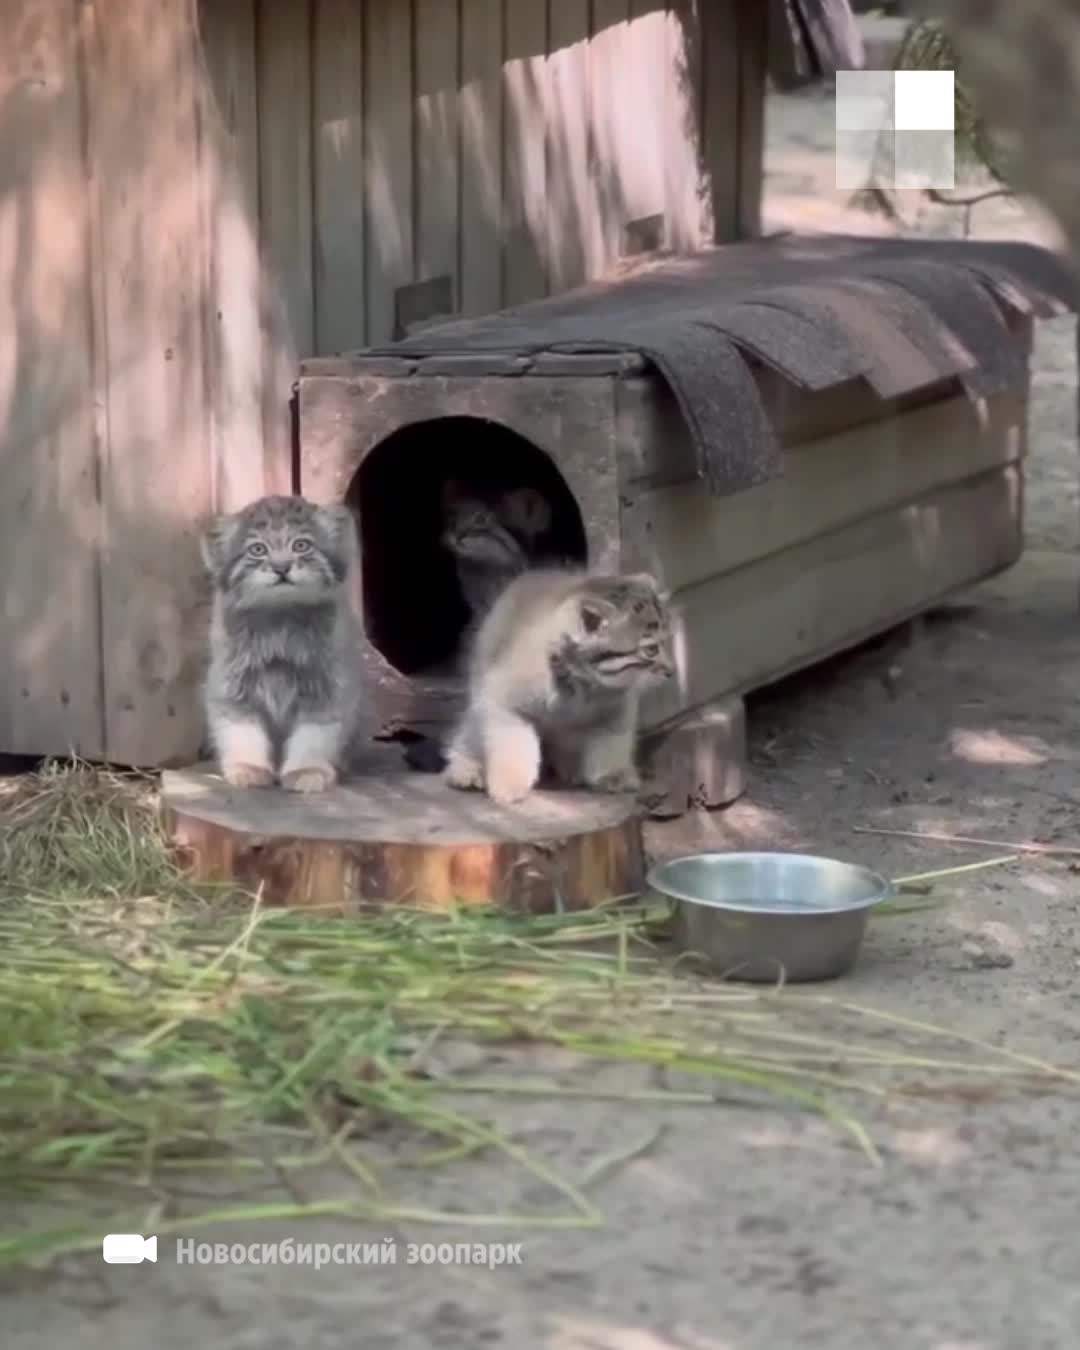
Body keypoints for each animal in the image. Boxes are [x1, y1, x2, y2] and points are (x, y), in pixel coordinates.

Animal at [195, 494, 361, 788]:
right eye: (257, 549)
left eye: (301, 545)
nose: (281, 567)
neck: (281, 618)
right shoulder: (232, 685)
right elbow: (241, 729)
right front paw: (248, 766)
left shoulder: (326, 687)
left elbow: (315, 734)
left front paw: (307, 769)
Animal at [442, 567, 669, 804]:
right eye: (651, 650)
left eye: (667, 642)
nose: (671, 671)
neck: (583, 681)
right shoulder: (503, 703)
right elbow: (511, 743)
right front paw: (510, 782)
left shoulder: (617, 708)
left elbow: (614, 741)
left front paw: (615, 773)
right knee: (469, 731)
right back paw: (466, 768)